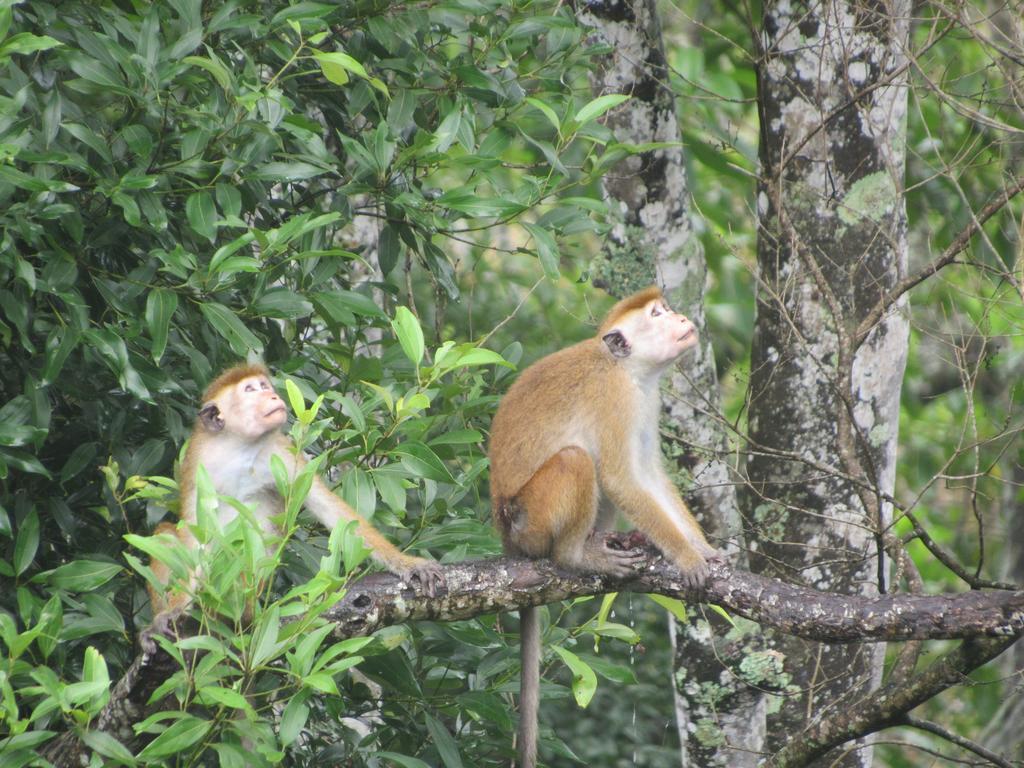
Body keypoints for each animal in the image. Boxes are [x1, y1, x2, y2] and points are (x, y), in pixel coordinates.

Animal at [145, 364, 444, 647]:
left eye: (264, 385)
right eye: (250, 390)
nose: (273, 395)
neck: (240, 447)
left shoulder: (284, 455)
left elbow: (332, 511)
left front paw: (409, 564)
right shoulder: (197, 460)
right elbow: (195, 532)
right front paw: (168, 614)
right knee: (165, 534)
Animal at [487, 286, 720, 765]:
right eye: (657, 315)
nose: (680, 317)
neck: (625, 369)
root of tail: (506, 536)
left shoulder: (645, 399)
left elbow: (648, 474)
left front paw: (701, 547)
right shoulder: (616, 399)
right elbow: (620, 478)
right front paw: (686, 557)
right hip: (529, 520)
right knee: (579, 461)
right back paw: (576, 555)